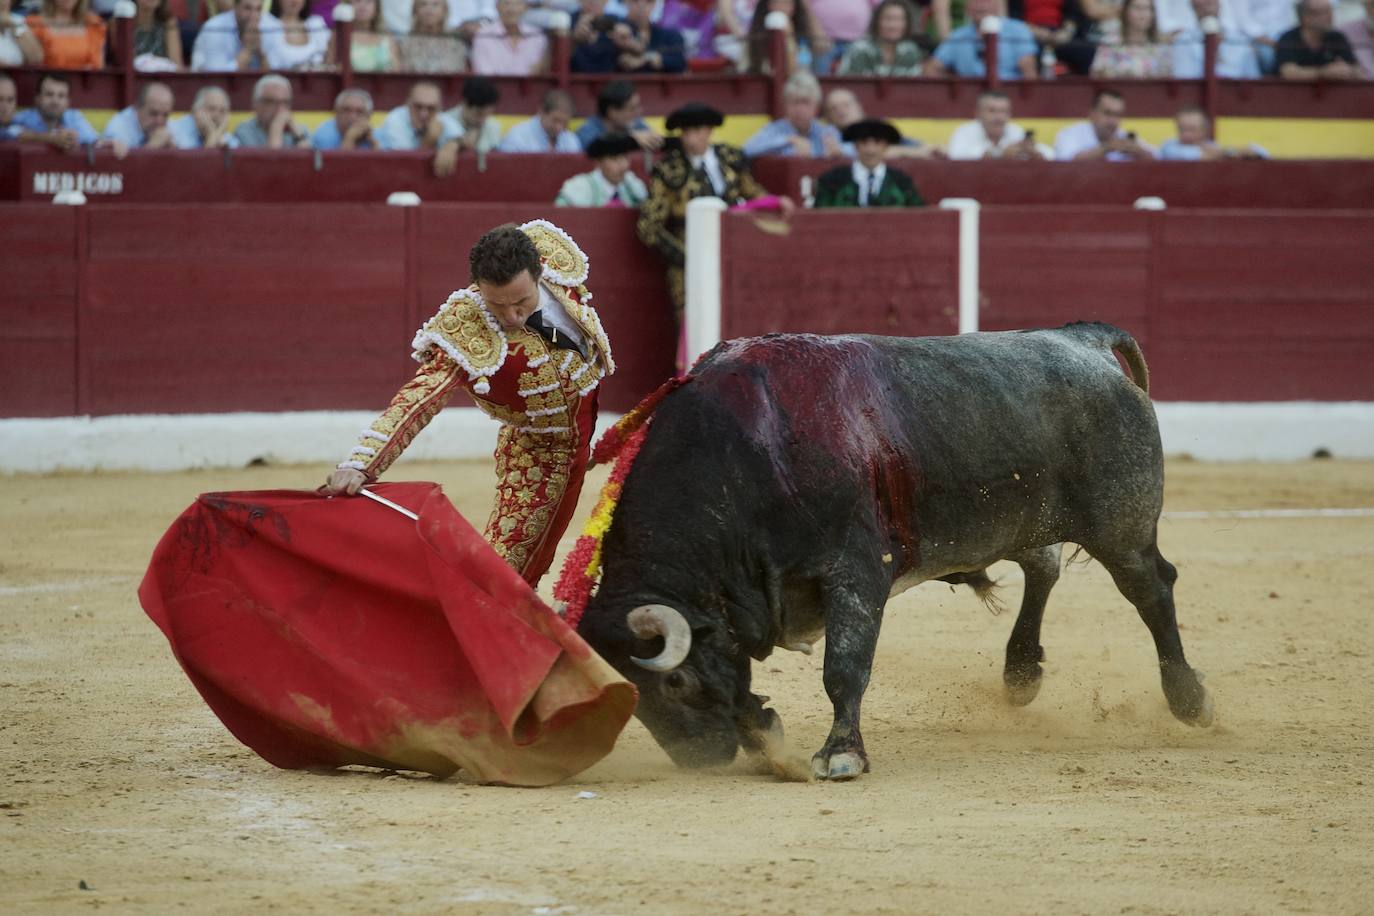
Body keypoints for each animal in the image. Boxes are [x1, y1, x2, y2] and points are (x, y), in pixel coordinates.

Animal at [579, 325, 1214, 780]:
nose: (702, 760)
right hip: (1029, 518)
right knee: (1044, 567)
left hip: (1121, 527)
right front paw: (765, 733)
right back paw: (1021, 673)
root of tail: (1085, 339)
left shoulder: (856, 573)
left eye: (676, 684)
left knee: (1150, 590)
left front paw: (840, 754)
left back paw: (1191, 702)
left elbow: (844, 668)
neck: (749, 455)